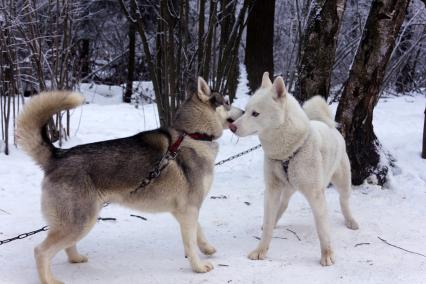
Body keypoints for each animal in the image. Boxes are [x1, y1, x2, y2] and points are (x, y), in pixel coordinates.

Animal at [230, 72, 360, 266]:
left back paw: (350, 220)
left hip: (343, 182)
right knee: (282, 206)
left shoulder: (315, 195)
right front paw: (261, 250)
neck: (288, 151)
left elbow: (323, 229)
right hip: (287, 188)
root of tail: (326, 124)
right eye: (245, 111)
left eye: (255, 113)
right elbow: (267, 227)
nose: (232, 126)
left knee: (344, 201)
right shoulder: (272, 190)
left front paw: (327, 255)